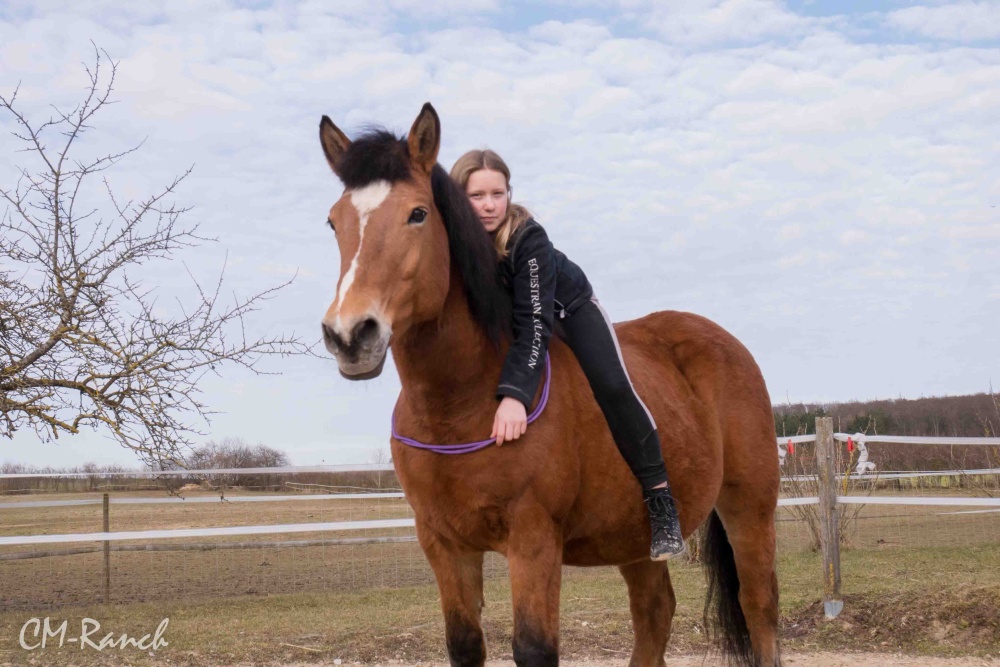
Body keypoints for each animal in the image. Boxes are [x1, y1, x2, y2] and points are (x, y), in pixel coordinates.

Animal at [316, 104, 784, 667]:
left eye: (417, 214)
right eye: (334, 220)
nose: (349, 335)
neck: (462, 400)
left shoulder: (534, 539)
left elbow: (535, 647)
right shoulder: (444, 544)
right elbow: (464, 644)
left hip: (749, 508)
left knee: (758, 606)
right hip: (636, 537)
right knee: (655, 611)